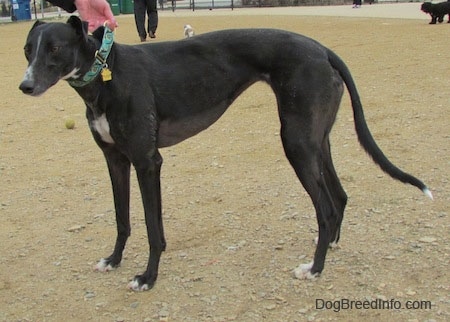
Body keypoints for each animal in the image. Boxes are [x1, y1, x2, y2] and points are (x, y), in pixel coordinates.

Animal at [20, 16, 432, 290]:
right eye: (27, 50)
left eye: (54, 48)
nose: (25, 86)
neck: (108, 72)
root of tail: (322, 50)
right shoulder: (115, 161)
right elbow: (123, 219)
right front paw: (114, 260)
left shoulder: (147, 162)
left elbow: (153, 227)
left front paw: (148, 277)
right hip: (316, 140)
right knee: (340, 196)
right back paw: (329, 245)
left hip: (296, 143)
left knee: (327, 207)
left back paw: (314, 269)